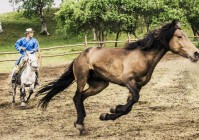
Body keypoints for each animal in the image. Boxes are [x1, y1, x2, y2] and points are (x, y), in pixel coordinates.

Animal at [36, 20, 199, 134]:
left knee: (81, 97)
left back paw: (79, 122)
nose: (196, 53)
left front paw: (108, 114)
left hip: (100, 85)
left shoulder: (138, 85)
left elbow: (129, 106)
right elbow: (134, 99)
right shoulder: (128, 81)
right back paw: (80, 125)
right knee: (76, 97)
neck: (143, 56)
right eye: (179, 36)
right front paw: (114, 109)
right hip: (82, 78)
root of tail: (80, 55)